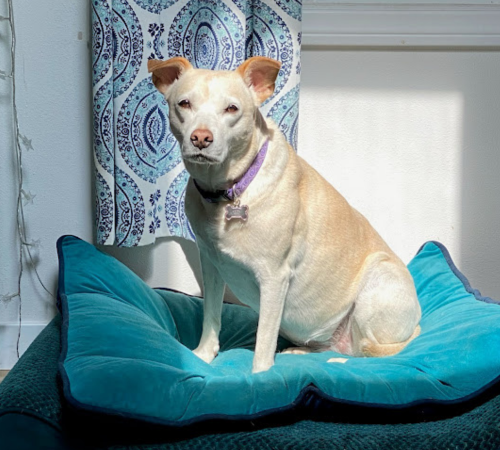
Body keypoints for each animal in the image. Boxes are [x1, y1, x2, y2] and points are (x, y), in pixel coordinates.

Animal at [149, 55, 422, 372]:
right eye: (184, 103)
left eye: (232, 109)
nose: (201, 138)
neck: (230, 192)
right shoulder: (212, 266)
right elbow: (211, 317)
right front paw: (203, 356)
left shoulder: (273, 278)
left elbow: (263, 341)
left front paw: (259, 376)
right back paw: (302, 352)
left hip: (378, 281)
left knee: (375, 353)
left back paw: (343, 360)